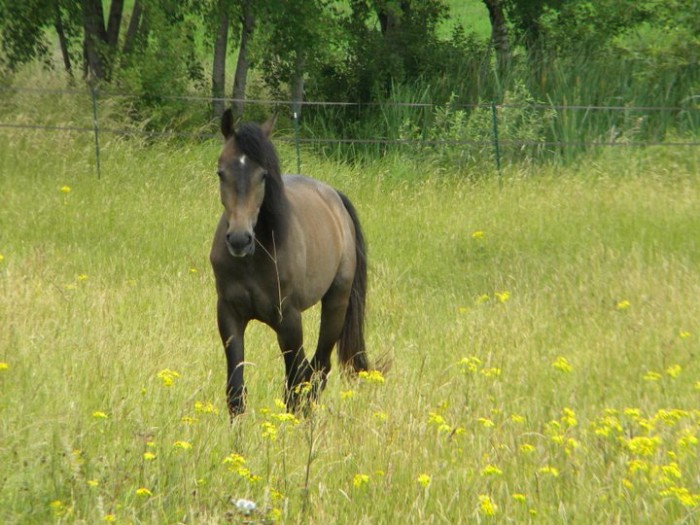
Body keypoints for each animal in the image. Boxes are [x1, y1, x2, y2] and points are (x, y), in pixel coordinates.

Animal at [209, 110, 370, 414]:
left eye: (263, 175)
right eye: (221, 172)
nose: (239, 239)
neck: (255, 259)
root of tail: (334, 197)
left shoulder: (289, 320)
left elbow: (295, 384)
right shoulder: (229, 315)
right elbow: (236, 391)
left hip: (336, 304)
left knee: (317, 370)